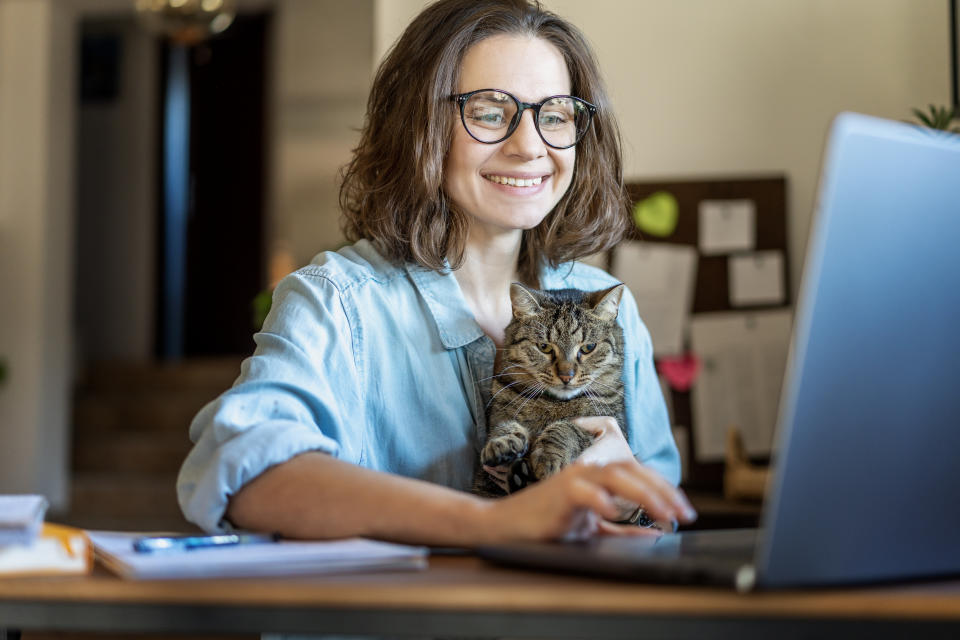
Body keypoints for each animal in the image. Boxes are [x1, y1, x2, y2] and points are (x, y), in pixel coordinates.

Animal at [474, 282, 632, 498]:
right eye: (544, 347)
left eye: (588, 347)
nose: (566, 376)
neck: (555, 403)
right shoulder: (499, 412)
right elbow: (504, 426)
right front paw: (502, 442)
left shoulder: (613, 422)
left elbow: (568, 427)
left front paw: (548, 455)